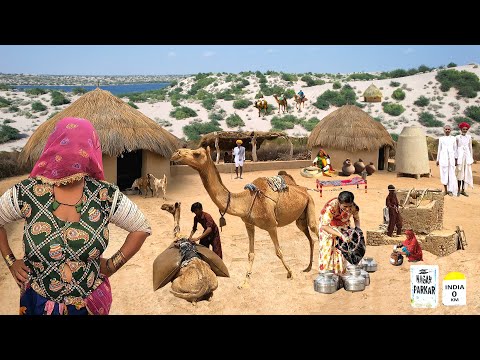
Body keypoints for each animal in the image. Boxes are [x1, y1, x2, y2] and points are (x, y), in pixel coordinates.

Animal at [171, 145, 320, 288]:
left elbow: (279, 252)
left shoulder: (272, 226)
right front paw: (244, 282)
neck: (246, 201)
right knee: (311, 238)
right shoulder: (249, 224)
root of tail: (303, 189)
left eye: (197, 153)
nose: (176, 153)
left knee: (317, 232)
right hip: (300, 219)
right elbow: (251, 253)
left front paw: (290, 273)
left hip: (311, 204)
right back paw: (308, 267)